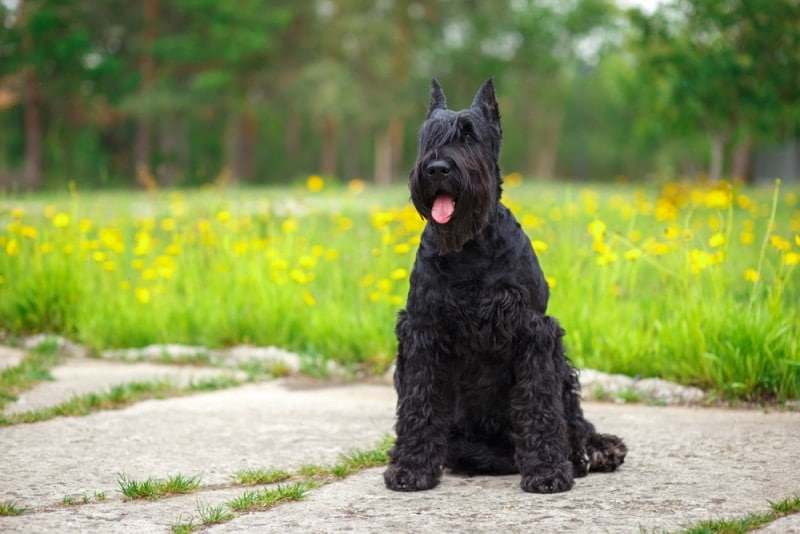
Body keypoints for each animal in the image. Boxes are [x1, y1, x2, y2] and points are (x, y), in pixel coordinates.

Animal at [384, 78, 628, 494]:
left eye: (469, 136)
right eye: (428, 136)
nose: (437, 168)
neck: (469, 248)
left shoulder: (534, 333)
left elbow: (540, 404)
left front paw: (547, 470)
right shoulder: (422, 331)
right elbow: (420, 400)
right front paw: (411, 466)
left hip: (562, 368)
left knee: (573, 417)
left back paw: (593, 450)